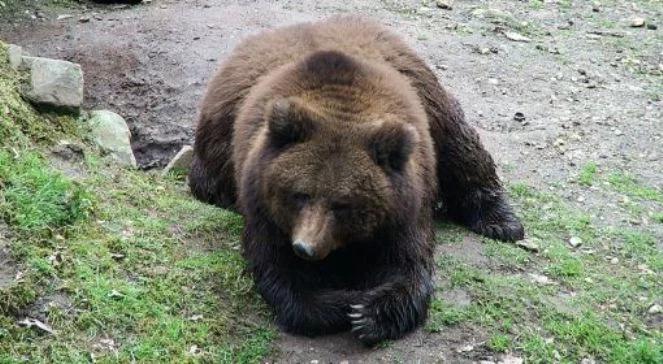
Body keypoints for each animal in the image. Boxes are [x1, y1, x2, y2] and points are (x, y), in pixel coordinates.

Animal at [188, 16, 524, 344]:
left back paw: (501, 222)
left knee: (460, 146)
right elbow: (281, 272)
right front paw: (342, 302)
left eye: (343, 204)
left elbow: (405, 265)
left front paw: (370, 314)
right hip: (216, 147)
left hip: (429, 97)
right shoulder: (263, 203)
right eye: (300, 194)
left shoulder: (405, 203)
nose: (305, 247)